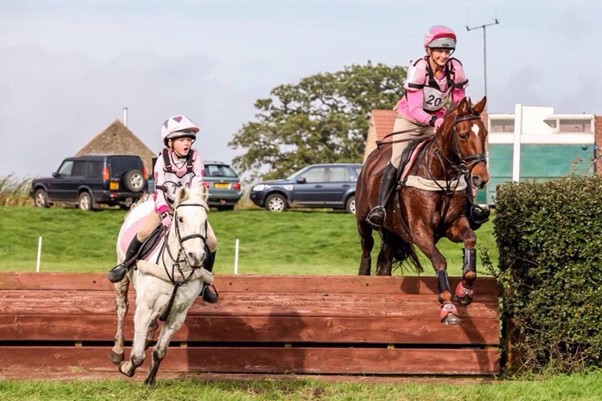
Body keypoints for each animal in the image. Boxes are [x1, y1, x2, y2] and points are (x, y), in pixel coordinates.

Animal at [110, 186, 213, 382]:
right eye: (180, 219)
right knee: (122, 307)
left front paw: (150, 380)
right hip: (122, 274)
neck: (177, 271)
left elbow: (159, 352)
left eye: (205, 221)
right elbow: (137, 356)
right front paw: (126, 367)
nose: (196, 256)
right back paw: (117, 351)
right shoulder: (144, 308)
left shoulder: (177, 316)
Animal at [356, 97, 488, 324]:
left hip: (391, 232)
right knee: (366, 248)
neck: (442, 174)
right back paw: (363, 278)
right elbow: (440, 261)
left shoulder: (454, 224)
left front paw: (464, 292)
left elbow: (470, 240)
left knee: (385, 259)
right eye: (462, 135)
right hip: (363, 221)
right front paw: (448, 307)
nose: (481, 178)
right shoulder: (420, 231)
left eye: (485, 133)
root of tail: (371, 159)